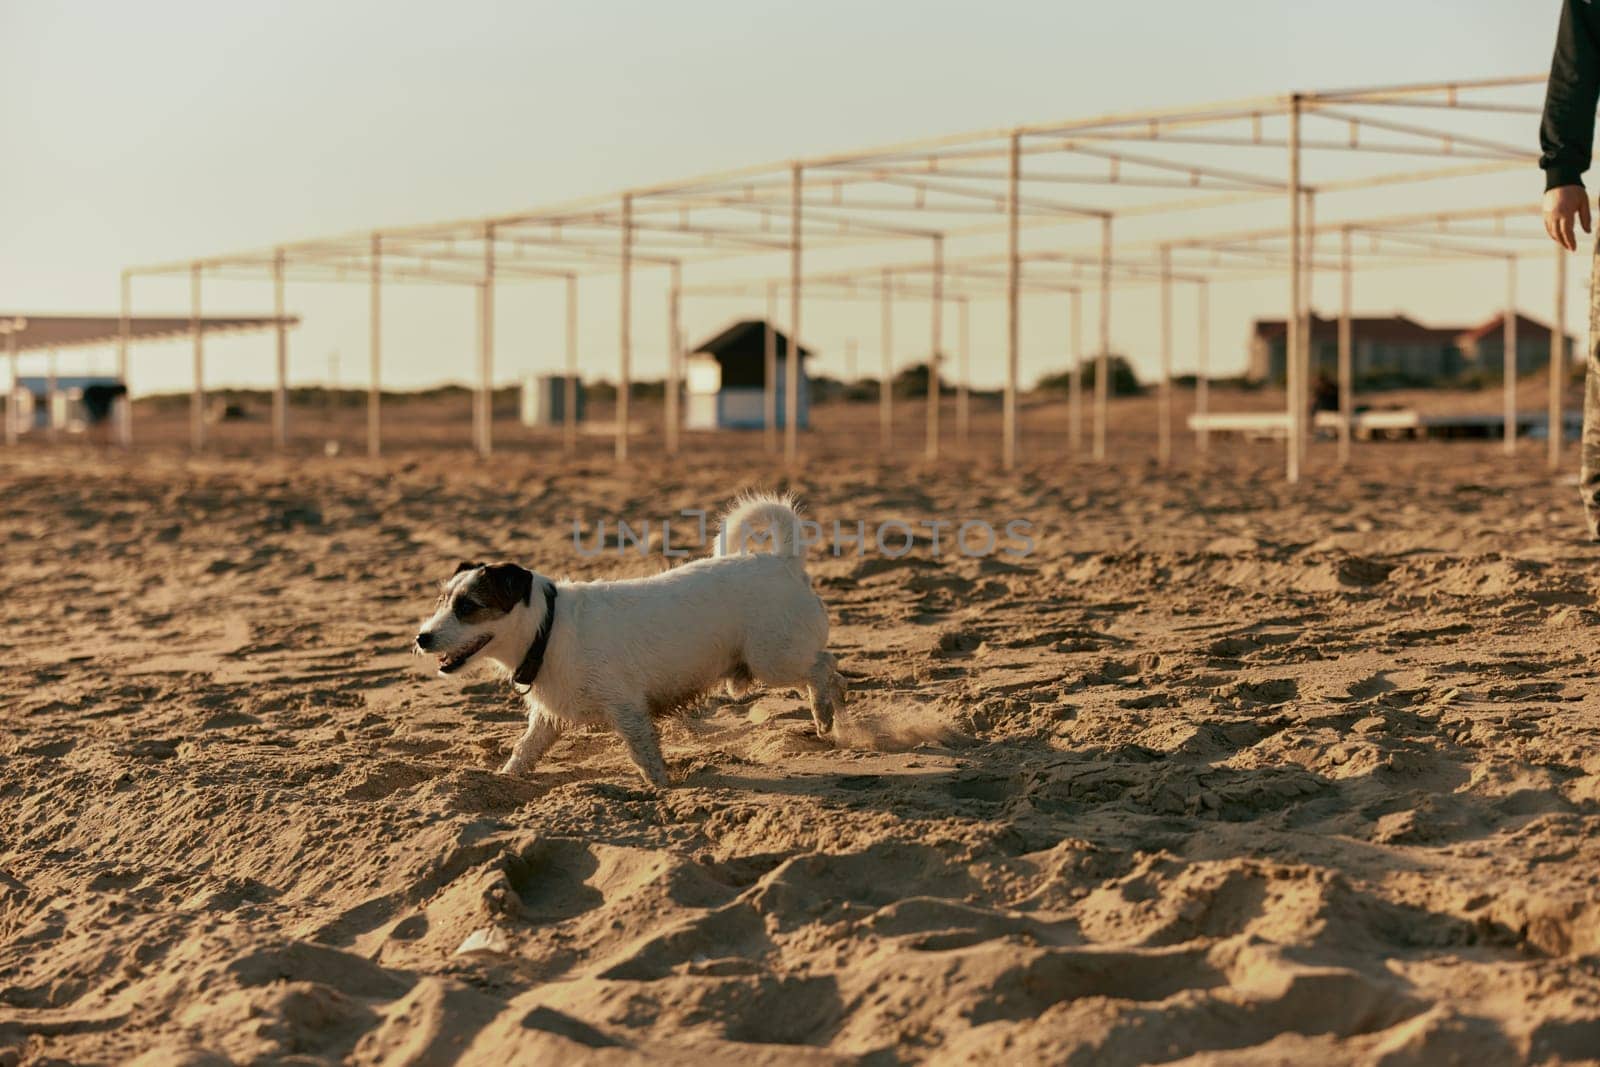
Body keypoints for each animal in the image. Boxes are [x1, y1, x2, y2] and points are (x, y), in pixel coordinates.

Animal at [412, 495, 844, 790]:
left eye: (468, 607)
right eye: (442, 601)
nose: (421, 637)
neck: (547, 631)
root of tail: (783, 562)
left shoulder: (627, 709)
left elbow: (643, 752)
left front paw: (662, 787)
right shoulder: (547, 719)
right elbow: (525, 751)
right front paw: (505, 779)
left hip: (773, 659)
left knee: (823, 665)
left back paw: (824, 713)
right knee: (832, 671)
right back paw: (839, 711)